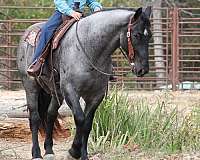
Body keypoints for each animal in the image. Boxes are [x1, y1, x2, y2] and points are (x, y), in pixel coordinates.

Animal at [16, 6, 152, 159]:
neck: (89, 49)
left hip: (55, 92)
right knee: (35, 117)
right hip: (31, 86)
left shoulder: (95, 95)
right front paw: (73, 151)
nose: (143, 69)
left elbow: (87, 123)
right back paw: (36, 153)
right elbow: (80, 119)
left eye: (149, 36)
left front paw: (83, 154)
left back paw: (49, 151)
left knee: (50, 115)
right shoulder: (70, 91)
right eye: (137, 35)